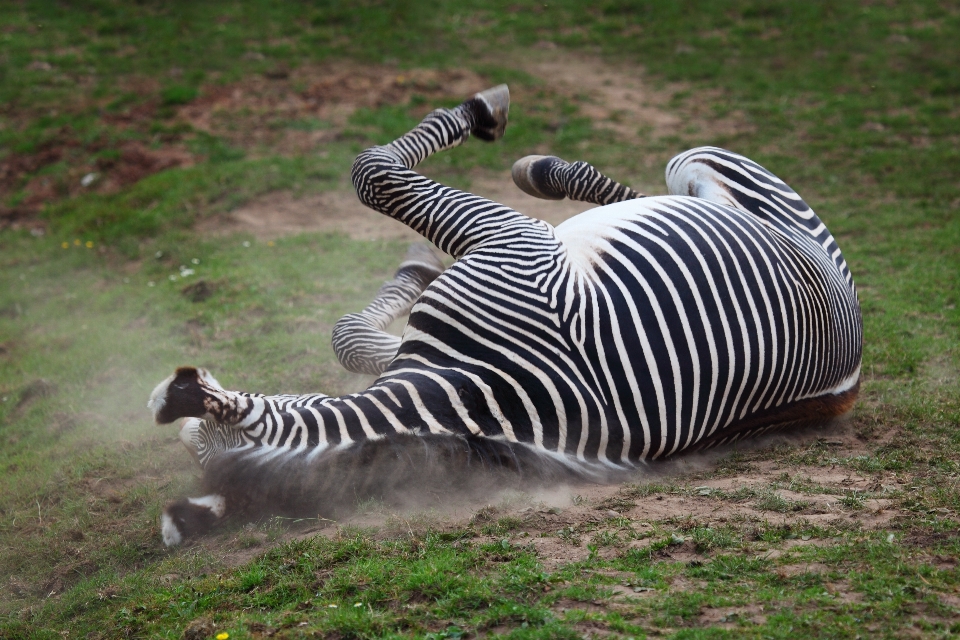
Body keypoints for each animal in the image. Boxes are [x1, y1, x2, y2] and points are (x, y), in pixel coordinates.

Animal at [148, 84, 864, 544]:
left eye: (194, 442)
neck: (472, 396)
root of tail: (848, 383)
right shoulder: (511, 247)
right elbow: (368, 212)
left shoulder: (509, 240)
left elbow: (370, 179)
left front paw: (476, 116)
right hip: (707, 174)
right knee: (644, 190)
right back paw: (543, 168)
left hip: (702, 171)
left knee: (637, 191)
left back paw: (537, 170)